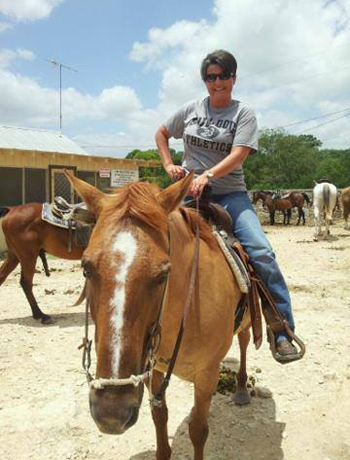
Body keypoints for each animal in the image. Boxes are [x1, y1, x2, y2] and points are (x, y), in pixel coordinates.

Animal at [65, 172, 252, 460]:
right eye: (86, 268)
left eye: (164, 274)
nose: (112, 413)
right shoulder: (152, 368)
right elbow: (159, 416)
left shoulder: (207, 374)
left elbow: (199, 429)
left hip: (247, 324)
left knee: (244, 342)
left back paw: (242, 388)